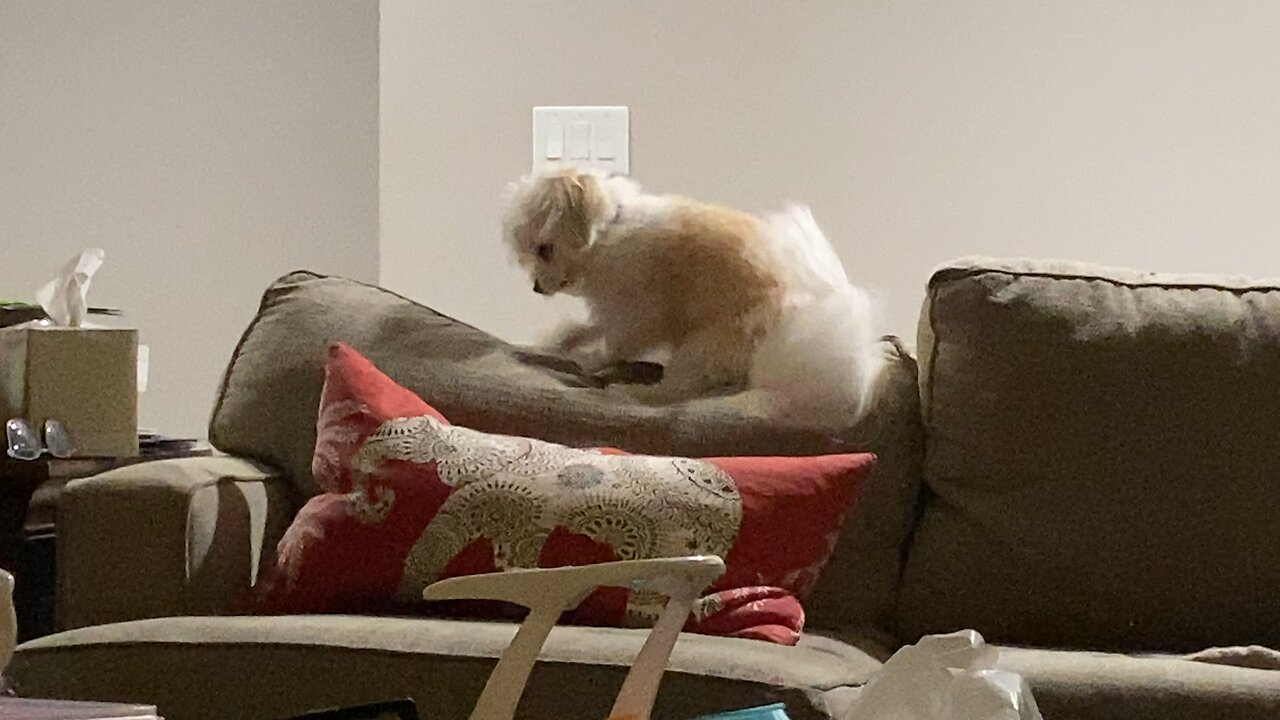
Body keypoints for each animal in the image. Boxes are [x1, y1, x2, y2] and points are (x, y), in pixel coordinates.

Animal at [499, 166, 880, 415]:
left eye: (543, 249)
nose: (536, 286)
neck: (608, 232)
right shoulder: (614, 304)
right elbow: (589, 326)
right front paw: (561, 339)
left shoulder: (641, 310)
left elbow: (617, 343)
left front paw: (589, 359)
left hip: (704, 346)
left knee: (676, 391)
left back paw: (629, 392)